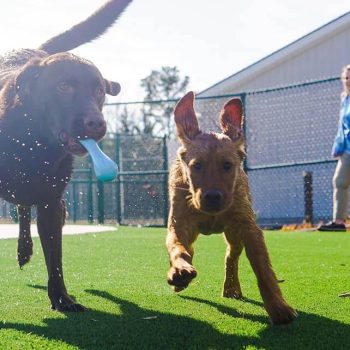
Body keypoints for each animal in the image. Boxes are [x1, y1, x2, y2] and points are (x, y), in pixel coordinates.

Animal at [0, 0, 131, 312]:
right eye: (63, 87)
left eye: (99, 91)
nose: (97, 124)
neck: (32, 142)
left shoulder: (50, 203)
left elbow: (55, 258)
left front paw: (62, 298)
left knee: (25, 209)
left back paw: (25, 249)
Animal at [165, 91, 296, 324]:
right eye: (196, 166)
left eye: (228, 165)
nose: (213, 197)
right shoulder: (179, 225)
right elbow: (178, 247)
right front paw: (179, 270)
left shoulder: (249, 229)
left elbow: (263, 270)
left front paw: (278, 307)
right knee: (191, 249)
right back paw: (181, 279)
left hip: (234, 233)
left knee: (231, 255)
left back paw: (232, 288)